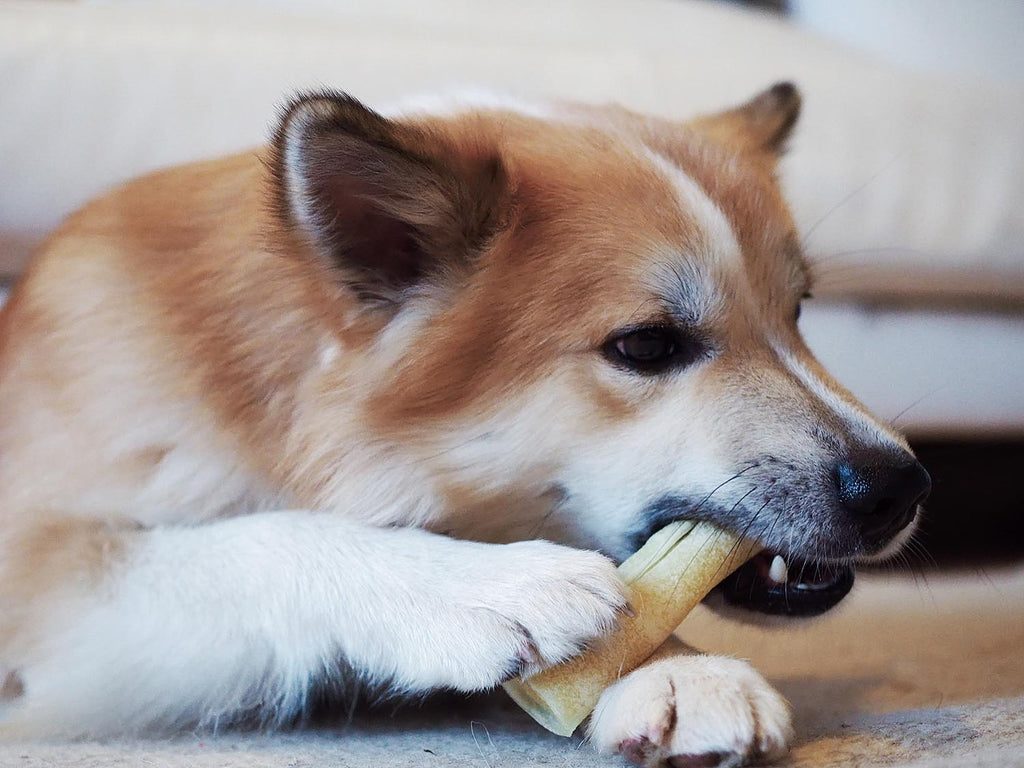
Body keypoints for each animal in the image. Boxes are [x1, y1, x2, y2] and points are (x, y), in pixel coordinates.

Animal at [0, 81, 929, 765]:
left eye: (798, 312)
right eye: (646, 345)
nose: (903, 485)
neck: (270, 395)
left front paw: (676, 671)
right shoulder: (45, 577)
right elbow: (253, 540)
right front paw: (482, 584)